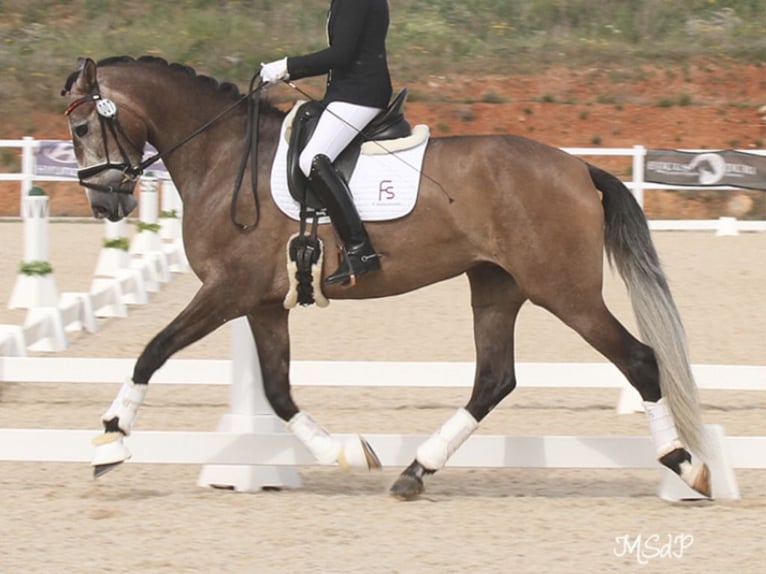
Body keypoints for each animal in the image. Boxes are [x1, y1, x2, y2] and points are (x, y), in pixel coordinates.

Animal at [60, 56, 712, 502]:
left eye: (83, 129)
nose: (106, 204)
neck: (222, 159)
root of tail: (578, 167)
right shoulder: (263, 302)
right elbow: (277, 390)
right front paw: (348, 451)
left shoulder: (227, 290)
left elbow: (152, 351)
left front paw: (111, 440)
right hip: (496, 287)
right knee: (494, 380)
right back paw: (415, 471)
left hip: (565, 292)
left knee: (639, 360)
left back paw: (687, 466)